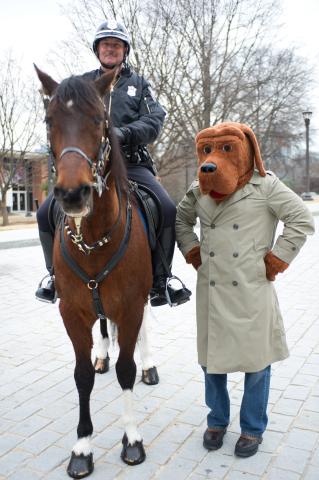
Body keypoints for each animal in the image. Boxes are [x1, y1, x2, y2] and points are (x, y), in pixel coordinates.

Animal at [35, 65, 155, 478]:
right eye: (49, 120)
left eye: (100, 120)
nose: (73, 194)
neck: (92, 238)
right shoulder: (72, 311)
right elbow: (82, 375)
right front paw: (83, 446)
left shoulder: (131, 306)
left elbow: (127, 370)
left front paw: (132, 439)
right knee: (103, 331)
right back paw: (102, 354)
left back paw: (150, 366)